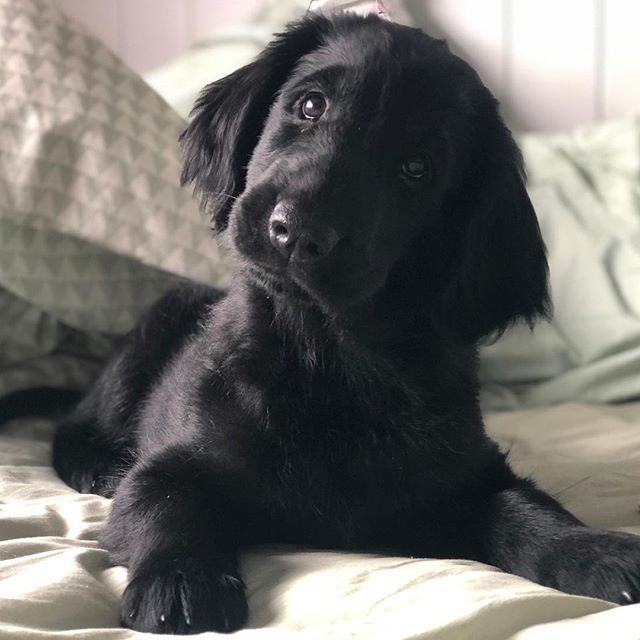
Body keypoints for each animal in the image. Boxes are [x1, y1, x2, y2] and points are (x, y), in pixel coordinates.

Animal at [48, 12, 640, 636]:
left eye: (416, 168)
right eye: (310, 106)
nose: (296, 230)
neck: (326, 353)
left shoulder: (462, 477)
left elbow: (526, 507)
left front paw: (597, 550)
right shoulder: (174, 461)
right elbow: (163, 502)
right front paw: (180, 580)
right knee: (72, 425)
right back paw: (100, 465)